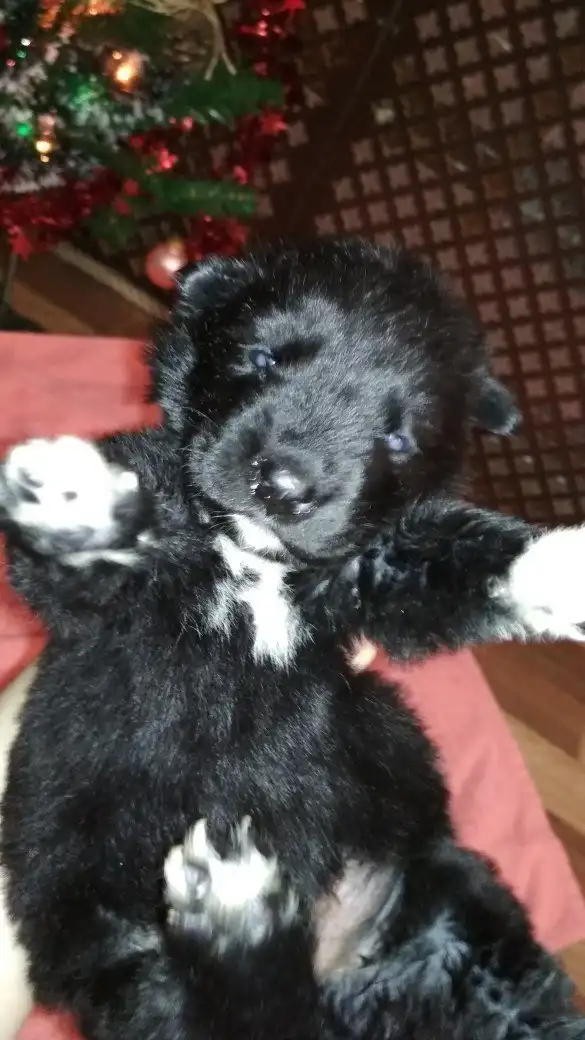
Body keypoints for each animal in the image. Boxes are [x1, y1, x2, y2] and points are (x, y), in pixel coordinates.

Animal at [1, 238, 585, 1040]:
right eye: (262, 358)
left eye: (397, 436)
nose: (282, 485)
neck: (254, 565)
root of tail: (338, 980)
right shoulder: (110, 615)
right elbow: (78, 564)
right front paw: (79, 499)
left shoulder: (370, 573)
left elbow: (457, 558)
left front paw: (565, 566)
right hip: (107, 935)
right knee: (221, 1015)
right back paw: (236, 915)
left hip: (451, 891)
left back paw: (238, 918)